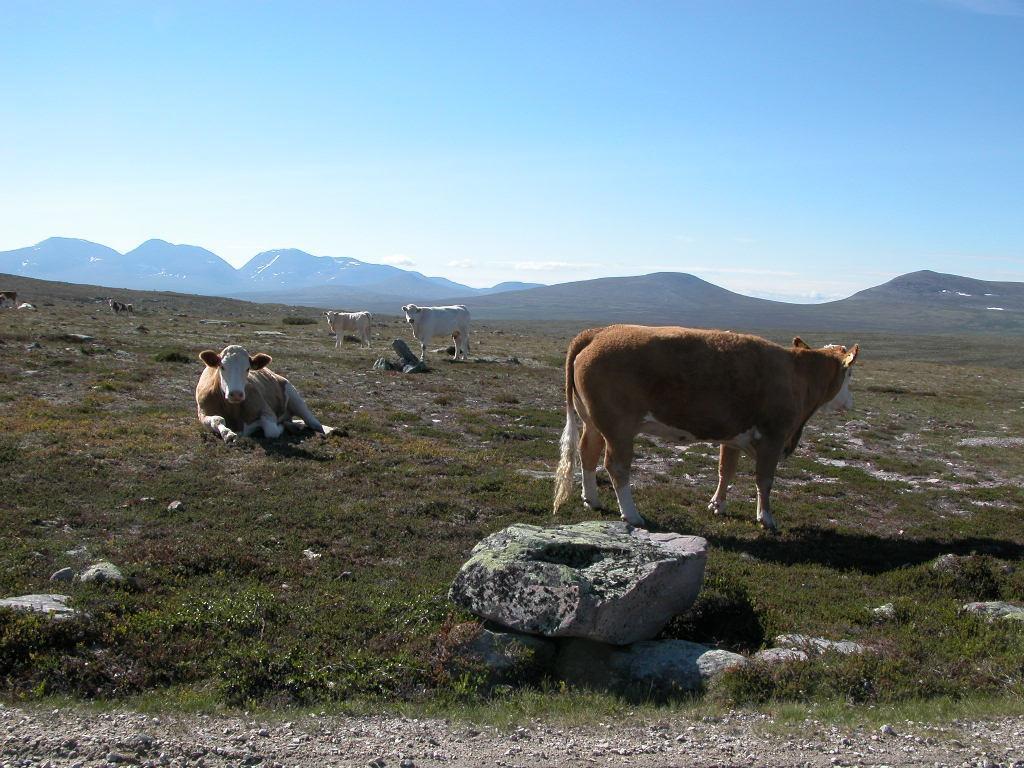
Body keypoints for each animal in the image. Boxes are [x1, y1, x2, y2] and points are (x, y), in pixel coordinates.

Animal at [195, 344, 331, 444]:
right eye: (222, 367)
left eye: (248, 369)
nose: (236, 394)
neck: (233, 410)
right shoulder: (203, 413)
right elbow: (218, 419)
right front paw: (228, 434)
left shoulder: (267, 410)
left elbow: (271, 430)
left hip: (294, 396)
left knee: (314, 423)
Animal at [552, 325, 856, 536]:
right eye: (850, 373)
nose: (849, 402)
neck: (797, 375)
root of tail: (599, 332)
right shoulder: (773, 436)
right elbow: (764, 480)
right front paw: (766, 519)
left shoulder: (732, 437)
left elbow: (726, 471)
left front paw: (717, 505)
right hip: (619, 428)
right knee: (616, 466)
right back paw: (632, 515)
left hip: (593, 423)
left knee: (588, 454)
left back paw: (591, 500)